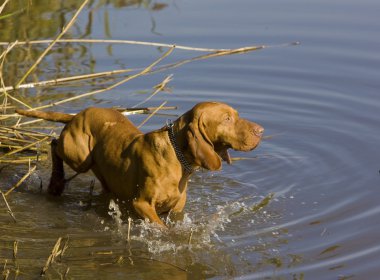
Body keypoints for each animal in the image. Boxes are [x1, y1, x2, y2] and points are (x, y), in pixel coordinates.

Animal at [16, 101, 262, 226]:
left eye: (236, 115)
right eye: (227, 119)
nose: (261, 131)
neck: (177, 157)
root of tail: (76, 115)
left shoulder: (176, 209)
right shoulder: (141, 204)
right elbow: (161, 228)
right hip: (79, 157)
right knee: (54, 143)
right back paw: (56, 183)